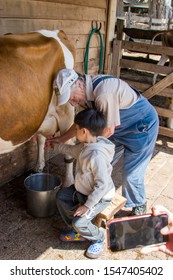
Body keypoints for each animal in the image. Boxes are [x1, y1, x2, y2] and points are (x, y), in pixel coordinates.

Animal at [0, 29, 75, 187]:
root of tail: (57, 32)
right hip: (41, 113)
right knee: (41, 137)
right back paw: (39, 166)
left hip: (66, 108)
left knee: (68, 145)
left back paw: (69, 182)